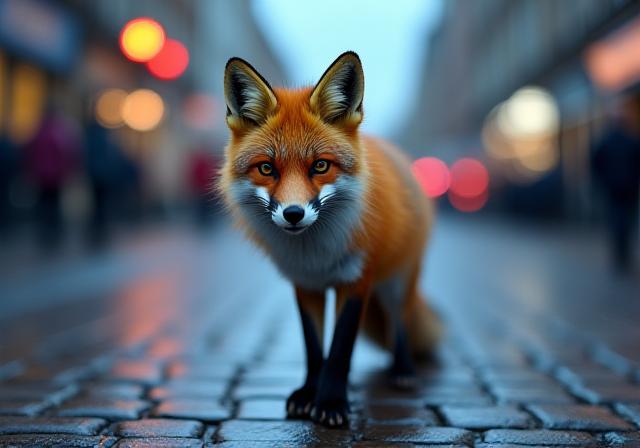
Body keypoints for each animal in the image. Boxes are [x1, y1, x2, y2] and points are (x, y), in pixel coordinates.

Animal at [219, 51, 439, 428]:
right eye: (267, 169)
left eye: (320, 166)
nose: (293, 214)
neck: (315, 254)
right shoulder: (306, 284)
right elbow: (314, 348)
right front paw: (309, 394)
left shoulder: (356, 282)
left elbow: (339, 350)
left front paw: (331, 403)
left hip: (397, 282)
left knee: (401, 322)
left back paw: (402, 370)